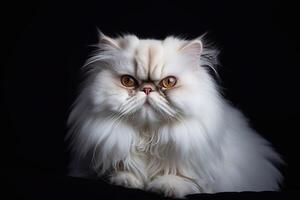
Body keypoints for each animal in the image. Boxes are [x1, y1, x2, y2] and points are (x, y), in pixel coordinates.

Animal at [66, 31, 284, 198]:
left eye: (169, 82)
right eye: (128, 81)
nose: (147, 89)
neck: (148, 136)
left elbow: (186, 179)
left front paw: (166, 186)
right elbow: (121, 168)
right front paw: (126, 180)